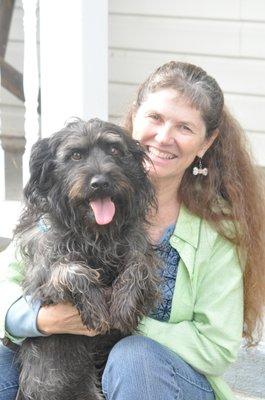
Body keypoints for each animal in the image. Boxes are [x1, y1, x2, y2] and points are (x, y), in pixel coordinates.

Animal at [13, 119, 159, 400]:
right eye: (75, 155)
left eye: (114, 150)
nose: (100, 183)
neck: (94, 234)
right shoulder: (40, 276)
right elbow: (68, 270)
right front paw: (95, 305)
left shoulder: (138, 245)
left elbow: (139, 266)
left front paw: (124, 305)